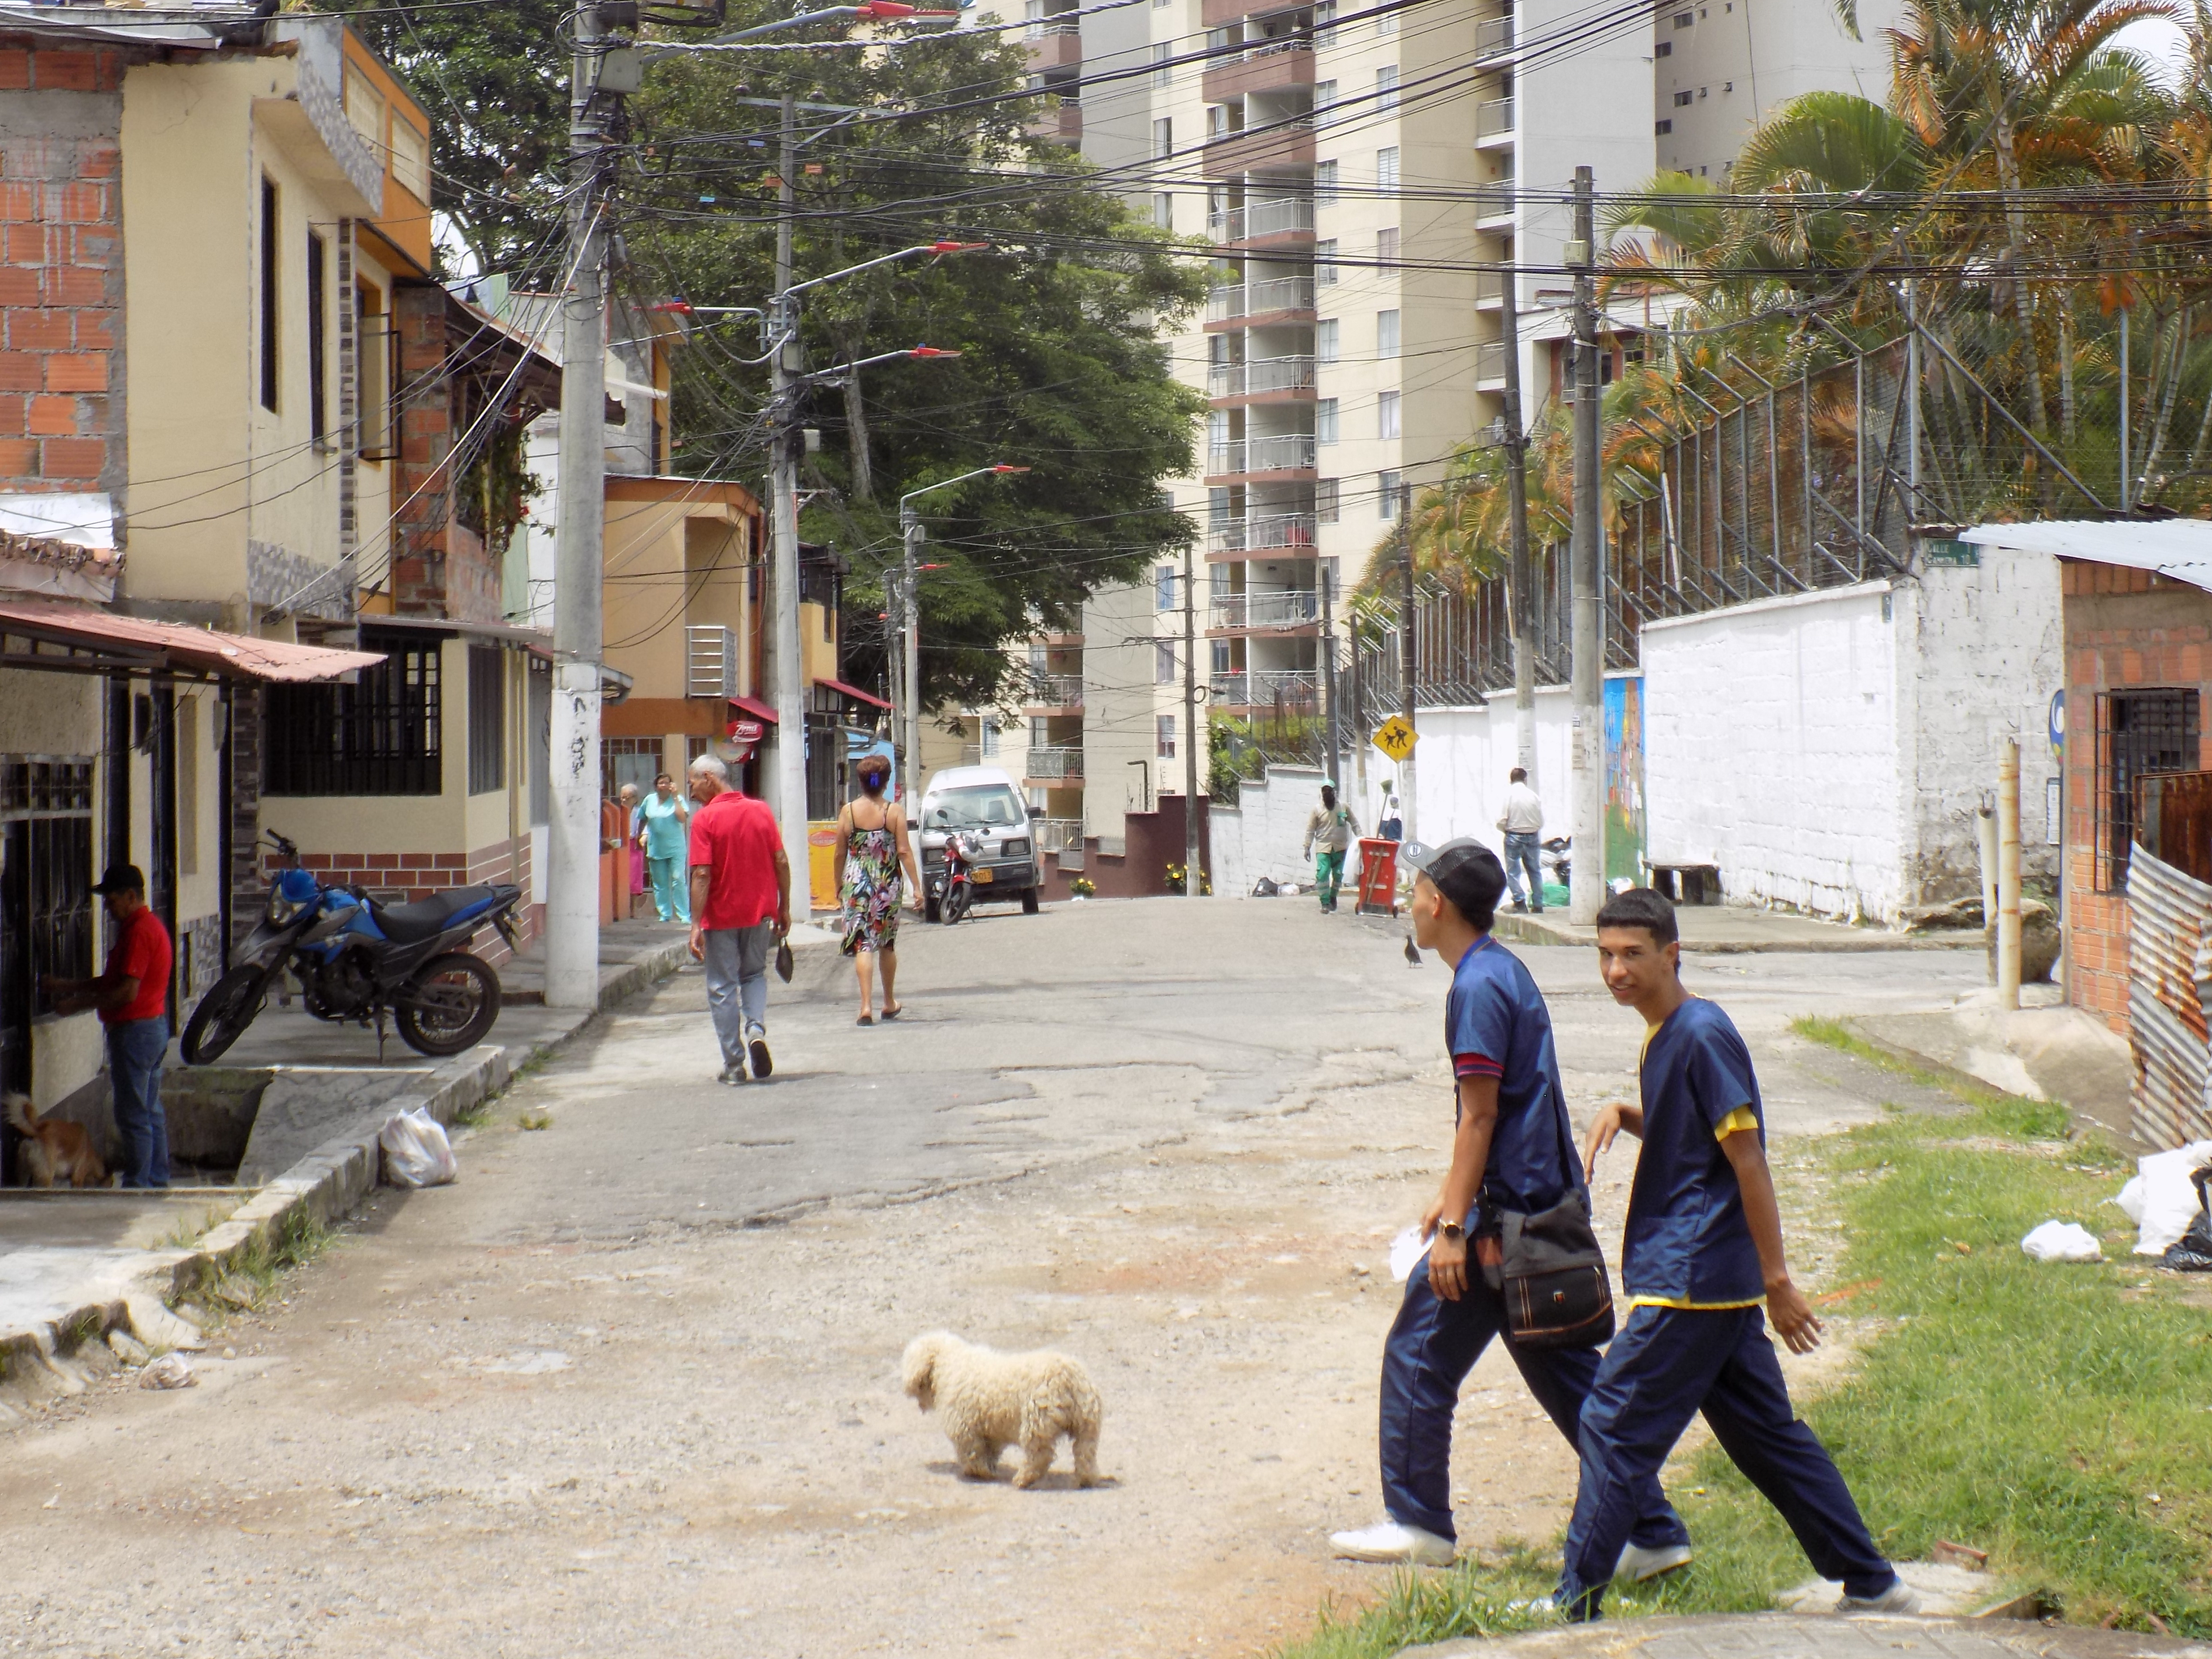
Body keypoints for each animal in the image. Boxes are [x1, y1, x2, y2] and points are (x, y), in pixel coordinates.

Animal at [898, 1336, 1106, 1495]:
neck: (950, 1364)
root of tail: (1068, 1376)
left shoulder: (964, 1427)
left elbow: (972, 1453)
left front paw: (977, 1473)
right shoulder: (990, 1430)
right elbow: (989, 1451)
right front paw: (988, 1469)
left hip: (1036, 1423)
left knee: (1040, 1457)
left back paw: (1023, 1480)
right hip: (1087, 1424)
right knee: (1085, 1454)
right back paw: (1085, 1480)